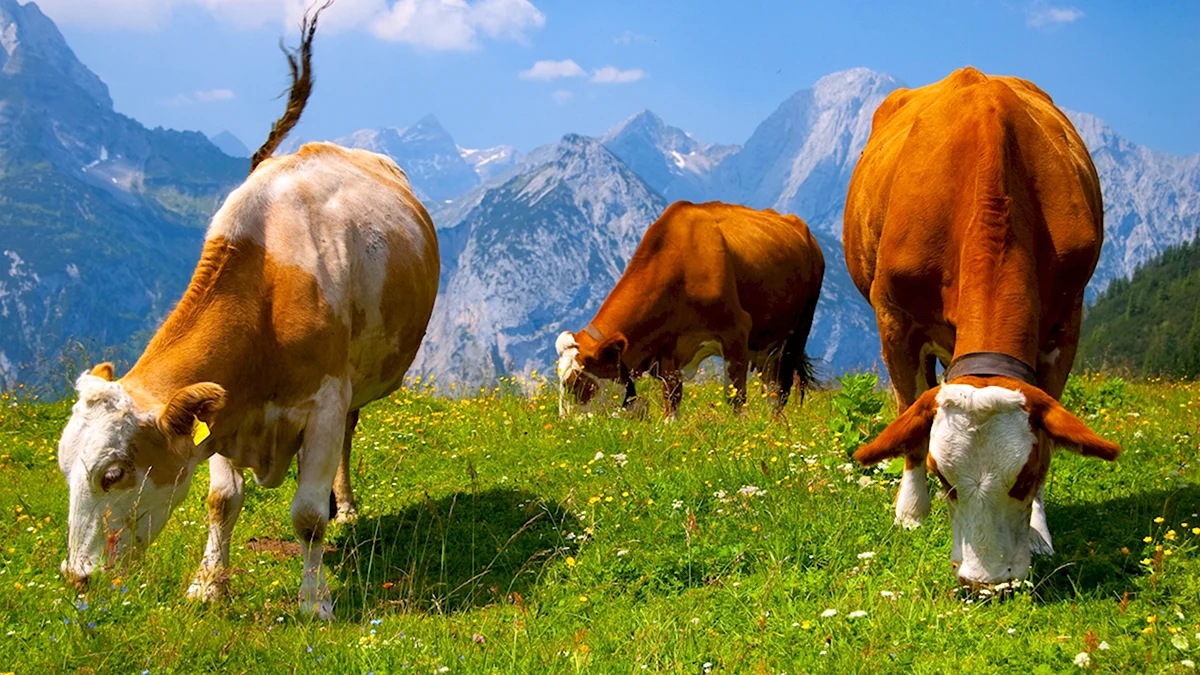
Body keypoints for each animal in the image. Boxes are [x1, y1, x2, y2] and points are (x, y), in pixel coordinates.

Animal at [56, 3, 440, 619]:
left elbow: (307, 516)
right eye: (64, 466)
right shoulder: (223, 410)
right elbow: (220, 500)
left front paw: (314, 601)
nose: (78, 578)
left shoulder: (325, 402)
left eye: (113, 473)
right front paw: (208, 584)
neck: (267, 295)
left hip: (355, 385)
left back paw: (347, 506)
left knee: (348, 440)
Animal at [556, 201, 824, 419]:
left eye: (575, 383)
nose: (567, 424)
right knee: (771, 387)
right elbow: (672, 398)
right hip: (765, 345)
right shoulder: (667, 350)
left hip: (799, 331)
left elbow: (735, 397)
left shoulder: (736, 333)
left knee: (781, 389)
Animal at [843, 67, 1120, 588]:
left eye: (1027, 476)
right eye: (944, 478)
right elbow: (911, 416)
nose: (986, 581)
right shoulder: (893, 320)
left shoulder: (1066, 322)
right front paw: (912, 512)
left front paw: (1039, 533)